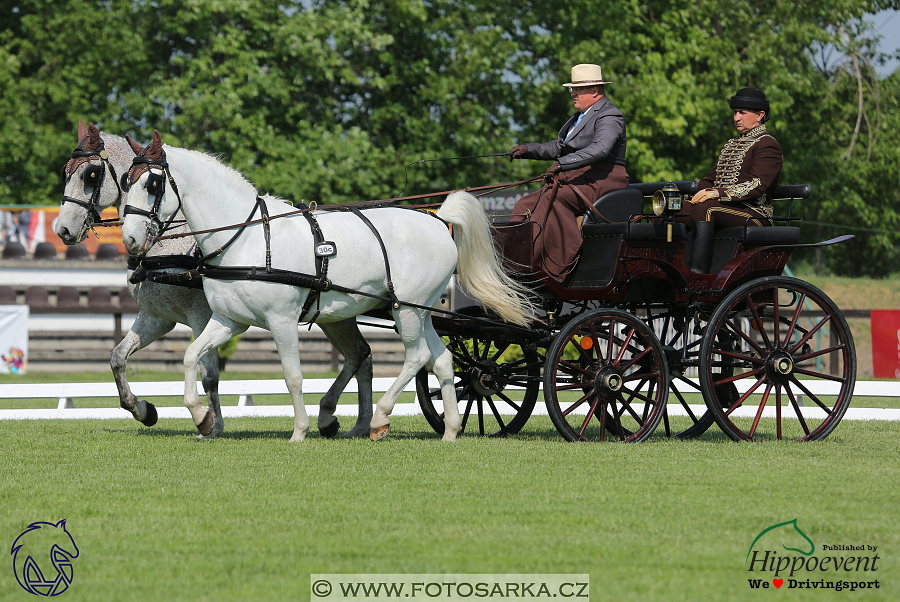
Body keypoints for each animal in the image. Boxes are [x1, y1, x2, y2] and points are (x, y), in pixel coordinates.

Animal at [119, 130, 536, 440]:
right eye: (126, 182)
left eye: (153, 183)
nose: (130, 240)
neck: (248, 237)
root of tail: (437, 219)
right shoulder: (228, 321)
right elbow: (192, 357)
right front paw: (201, 418)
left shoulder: (281, 321)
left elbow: (292, 376)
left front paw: (300, 431)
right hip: (418, 311)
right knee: (442, 358)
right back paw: (449, 430)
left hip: (406, 310)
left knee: (416, 356)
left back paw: (380, 419)